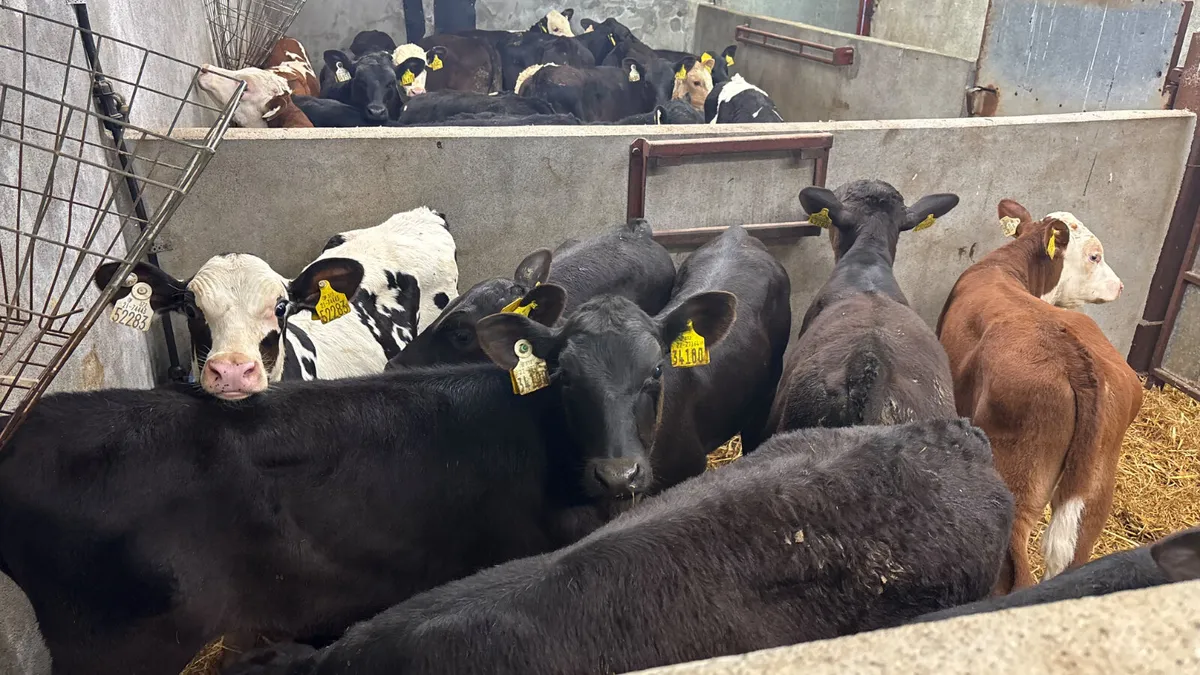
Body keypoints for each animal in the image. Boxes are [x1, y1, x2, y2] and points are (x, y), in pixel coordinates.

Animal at [936, 198, 1142, 594]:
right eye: (1094, 256)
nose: (1121, 285)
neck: (1007, 266)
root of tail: (1074, 355)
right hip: (1096, 487)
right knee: (1072, 554)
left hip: (1015, 474)